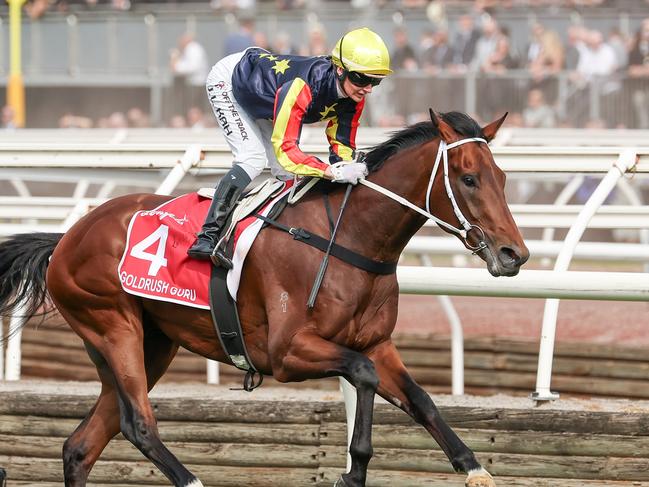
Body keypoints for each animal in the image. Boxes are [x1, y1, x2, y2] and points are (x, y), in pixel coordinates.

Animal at [1, 111, 528, 487]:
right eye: (468, 178)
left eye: (502, 177)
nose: (514, 254)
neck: (350, 238)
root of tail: (67, 237)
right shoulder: (286, 353)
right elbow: (363, 374)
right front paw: (353, 470)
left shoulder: (377, 342)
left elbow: (420, 399)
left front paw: (474, 467)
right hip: (114, 325)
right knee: (139, 425)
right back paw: (192, 481)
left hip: (151, 345)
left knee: (80, 446)